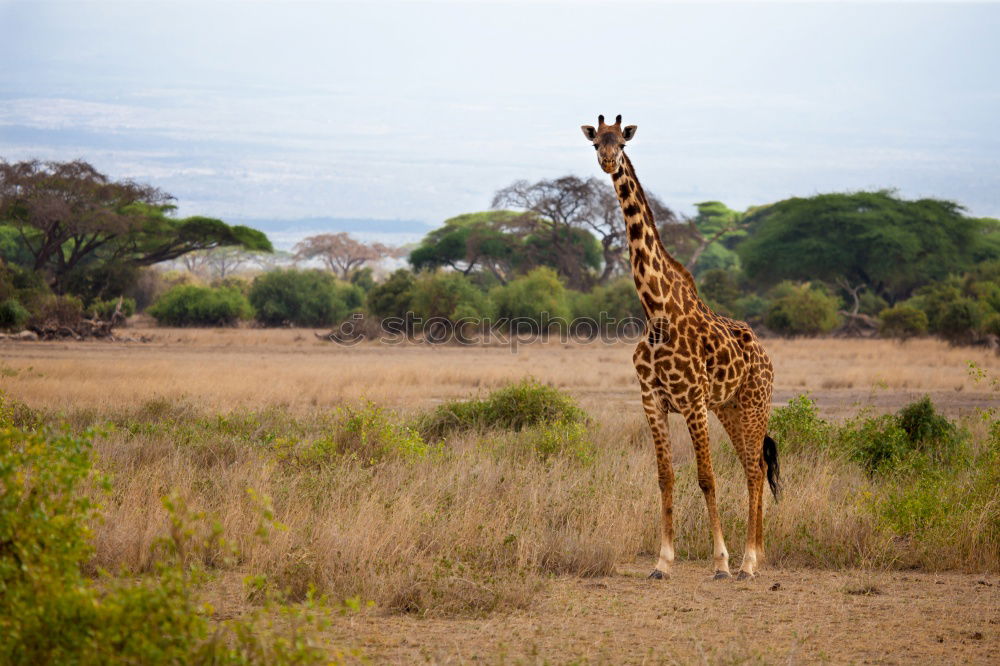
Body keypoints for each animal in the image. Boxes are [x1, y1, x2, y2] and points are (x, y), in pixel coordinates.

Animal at [584, 115, 780, 580]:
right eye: (596, 142)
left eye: (621, 142)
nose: (608, 161)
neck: (656, 310)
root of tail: (767, 358)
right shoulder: (652, 400)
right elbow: (665, 478)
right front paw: (662, 562)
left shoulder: (692, 400)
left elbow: (706, 477)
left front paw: (720, 562)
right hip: (728, 408)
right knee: (755, 465)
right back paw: (757, 555)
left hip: (754, 403)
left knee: (754, 468)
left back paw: (747, 562)